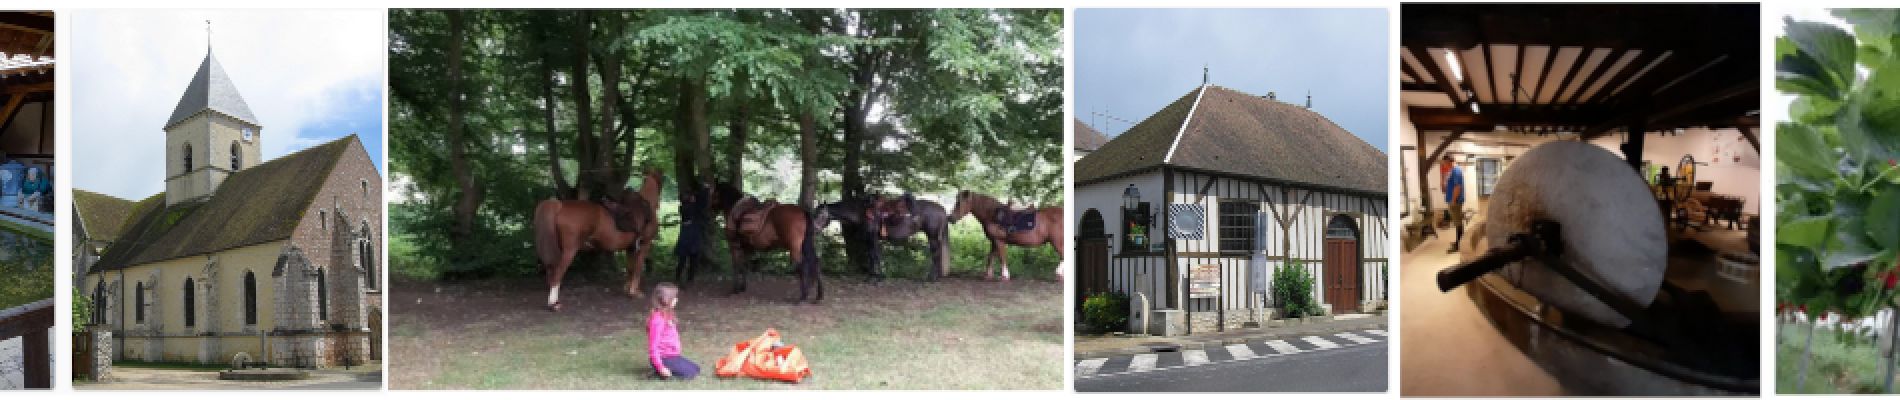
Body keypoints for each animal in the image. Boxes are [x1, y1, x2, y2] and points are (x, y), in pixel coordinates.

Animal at [532, 170, 665, 310]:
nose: (659, 204)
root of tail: (560, 206)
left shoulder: (630, 248)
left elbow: (630, 269)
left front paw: (629, 289)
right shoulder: (644, 245)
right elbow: (638, 269)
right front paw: (634, 292)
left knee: (550, 271)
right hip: (569, 251)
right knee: (557, 274)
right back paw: (553, 304)